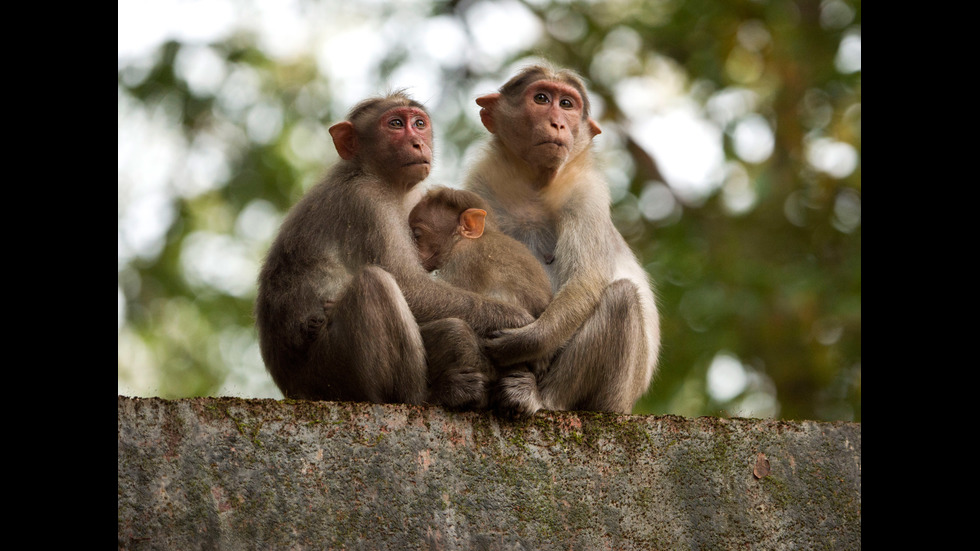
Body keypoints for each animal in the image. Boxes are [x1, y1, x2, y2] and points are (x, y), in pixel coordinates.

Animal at [253, 90, 536, 410]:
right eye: (396, 124)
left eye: (419, 124)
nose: (417, 143)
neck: (374, 175)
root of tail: (291, 386)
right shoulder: (367, 201)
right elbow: (409, 285)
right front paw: (518, 322)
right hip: (328, 374)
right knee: (375, 284)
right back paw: (424, 396)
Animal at [464, 64, 664, 416]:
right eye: (542, 99)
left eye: (567, 104)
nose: (557, 123)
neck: (534, 183)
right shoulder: (480, 184)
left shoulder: (586, 193)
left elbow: (586, 279)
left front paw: (524, 343)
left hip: (614, 397)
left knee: (622, 299)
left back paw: (540, 397)